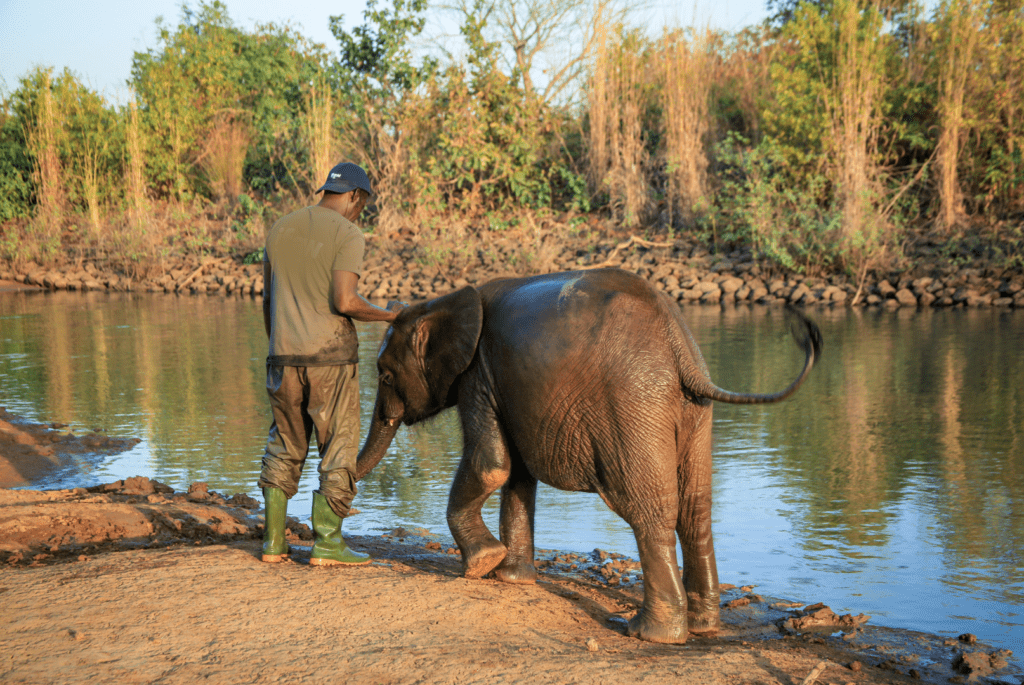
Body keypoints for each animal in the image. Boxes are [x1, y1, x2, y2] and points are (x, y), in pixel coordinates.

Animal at [356, 266, 819, 643]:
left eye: (384, 375)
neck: (441, 301)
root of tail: (679, 345)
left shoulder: (478, 375)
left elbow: (492, 466)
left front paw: (481, 566)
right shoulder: (507, 386)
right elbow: (517, 476)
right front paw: (511, 578)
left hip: (633, 403)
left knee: (649, 510)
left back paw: (648, 633)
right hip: (693, 411)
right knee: (695, 509)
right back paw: (703, 627)